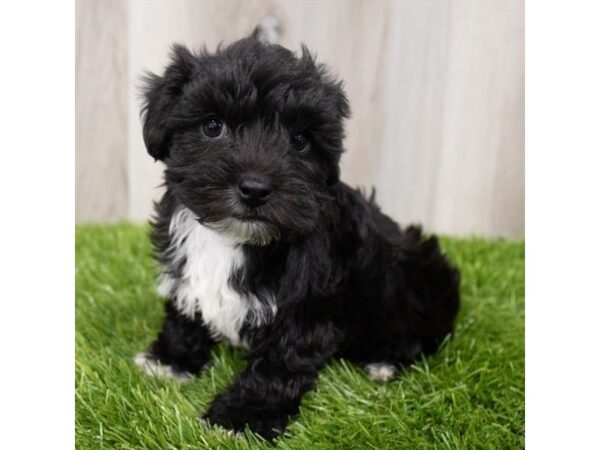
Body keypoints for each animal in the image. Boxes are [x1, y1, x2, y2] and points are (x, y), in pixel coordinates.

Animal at [135, 30, 460, 440]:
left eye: (301, 140)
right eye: (212, 126)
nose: (255, 188)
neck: (234, 239)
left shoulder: (306, 305)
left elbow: (279, 362)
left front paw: (242, 416)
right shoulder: (184, 265)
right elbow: (184, 310)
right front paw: (171, 359)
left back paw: (383, 362)